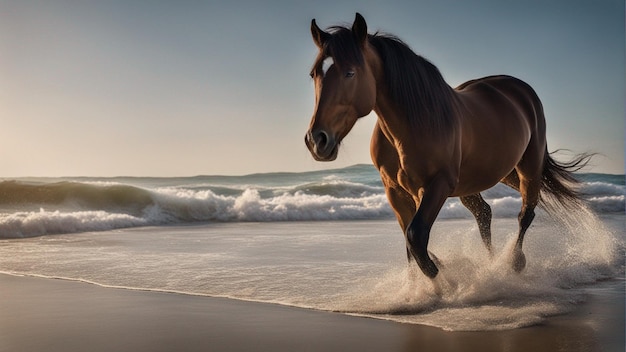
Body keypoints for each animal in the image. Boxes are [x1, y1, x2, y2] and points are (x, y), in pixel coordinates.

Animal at [302, 13, 588, 278]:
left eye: (350, 72)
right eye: (314, 74)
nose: (317, 140)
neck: (411, 125)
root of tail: (522, 91)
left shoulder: (436, 185)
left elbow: (415, 236)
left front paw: (442, 283)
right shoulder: (395, 190)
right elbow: (409, 240)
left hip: (527, 167)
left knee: (525, 212)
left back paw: (514, 263)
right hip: (491, 176)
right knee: (485, 213)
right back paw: (491, 263)